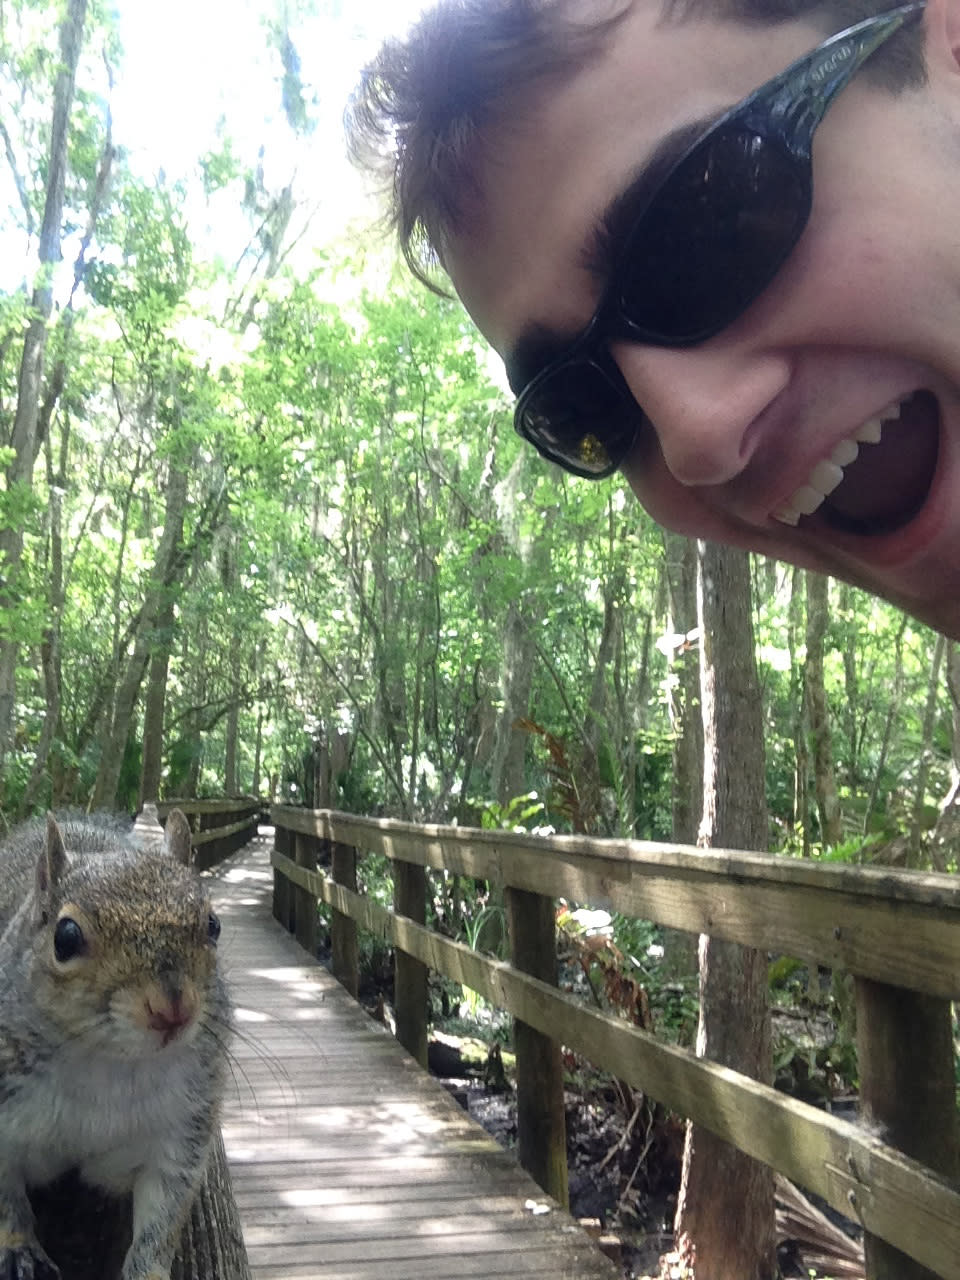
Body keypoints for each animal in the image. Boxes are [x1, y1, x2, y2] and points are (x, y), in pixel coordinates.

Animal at [0, 808, 231, 1280]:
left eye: (214, 925)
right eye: (65, 937)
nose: (172, 1009)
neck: (106, 1063)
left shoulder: (179, 1135)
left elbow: (161, 1223)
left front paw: (148, 1271)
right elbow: (5, 1197)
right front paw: (19, 1249)